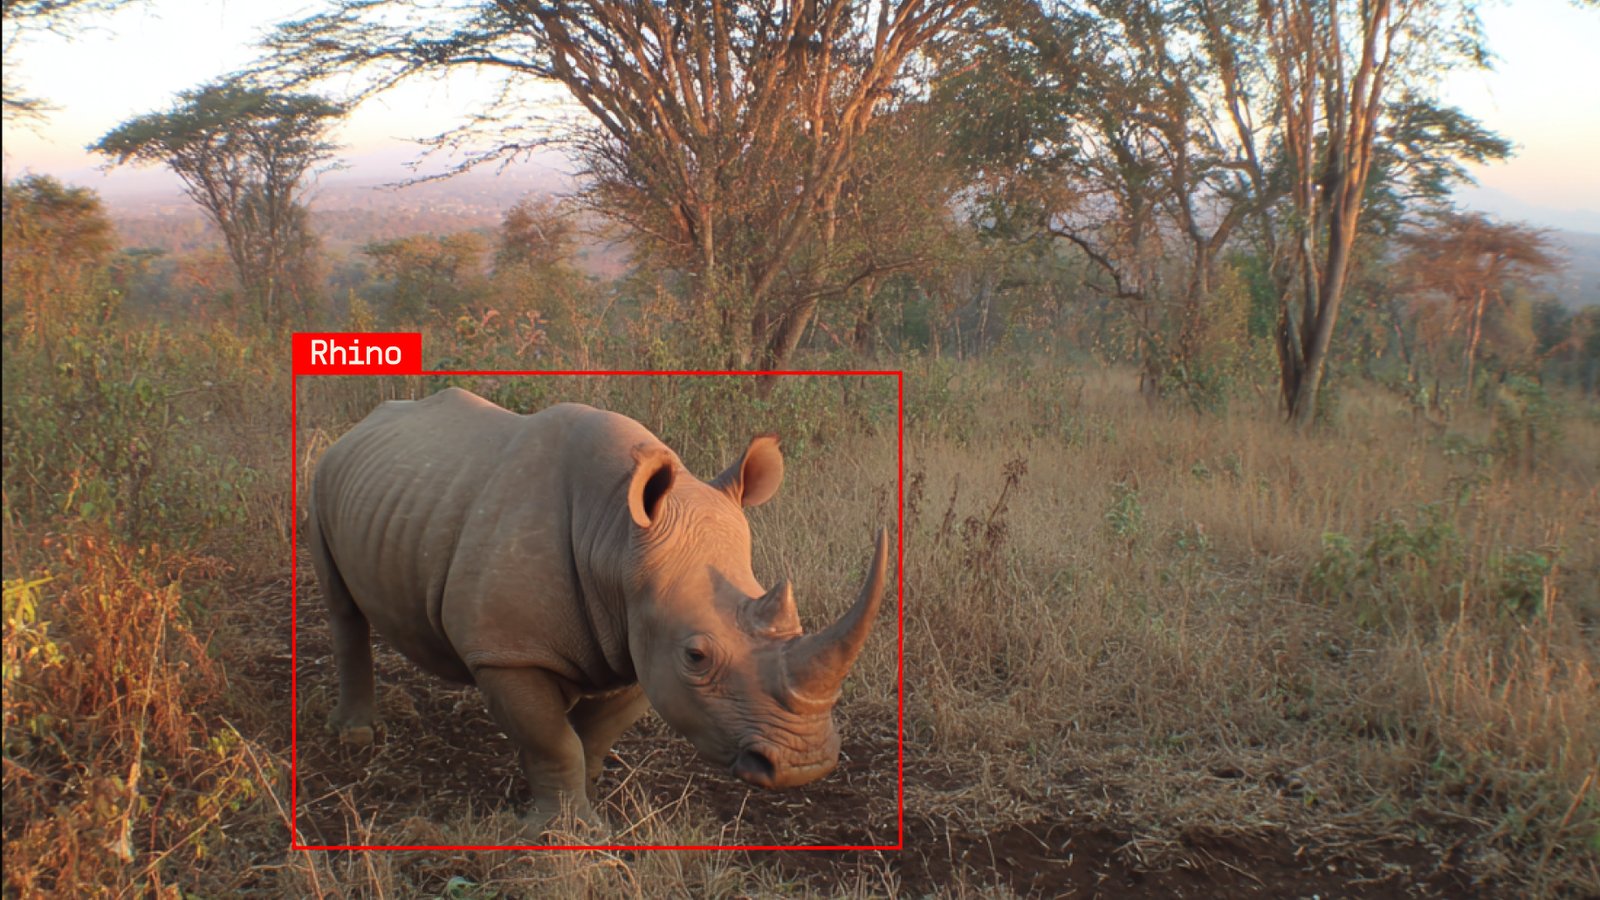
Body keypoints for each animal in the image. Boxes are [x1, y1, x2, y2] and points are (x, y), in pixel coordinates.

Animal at [306, 387, 887, 827]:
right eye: (696, 657)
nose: (804, 765)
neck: (614, 539)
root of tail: (359, 426)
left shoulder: (641, 638)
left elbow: (590, 736)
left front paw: (587, 799)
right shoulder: (509, 653)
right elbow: (554, 740)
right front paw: (565, 833)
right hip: (323, 474)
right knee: (342, 608)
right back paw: (356, 736)